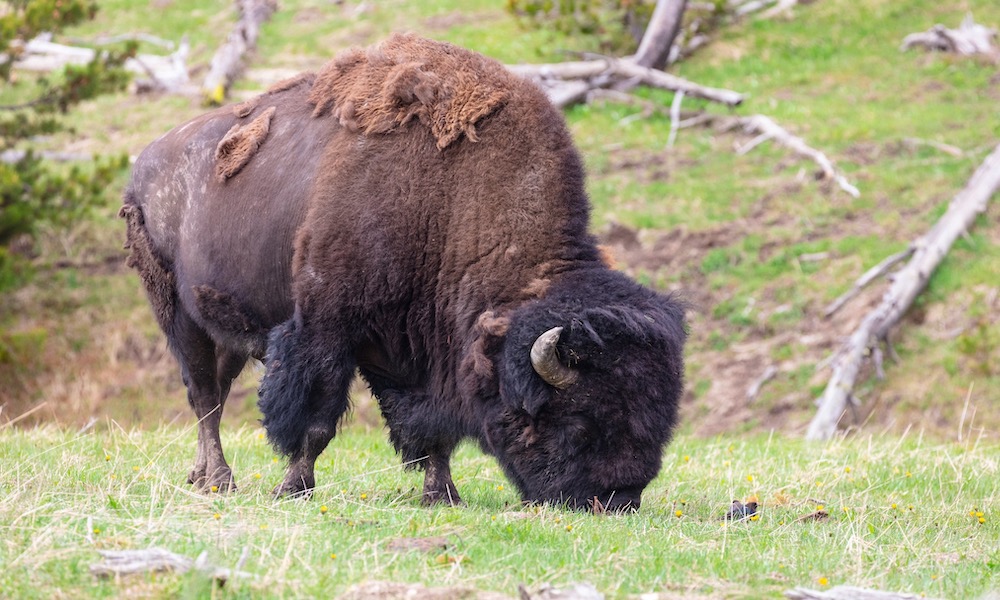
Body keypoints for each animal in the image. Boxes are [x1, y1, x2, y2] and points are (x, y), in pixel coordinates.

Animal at [123, 34, 688, 510]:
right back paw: (220, 481)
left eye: (659, 420)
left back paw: (201, 478)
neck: (448, 199)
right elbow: (316, 421)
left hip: (226, 328)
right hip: (176, 313)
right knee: (204, 396)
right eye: (580, 420)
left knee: (213, 392)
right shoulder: (326, 329)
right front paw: (294, 488)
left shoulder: (422, 354)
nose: (618, 499)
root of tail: (144, 163)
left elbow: (434, 432)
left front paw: (442, 495)